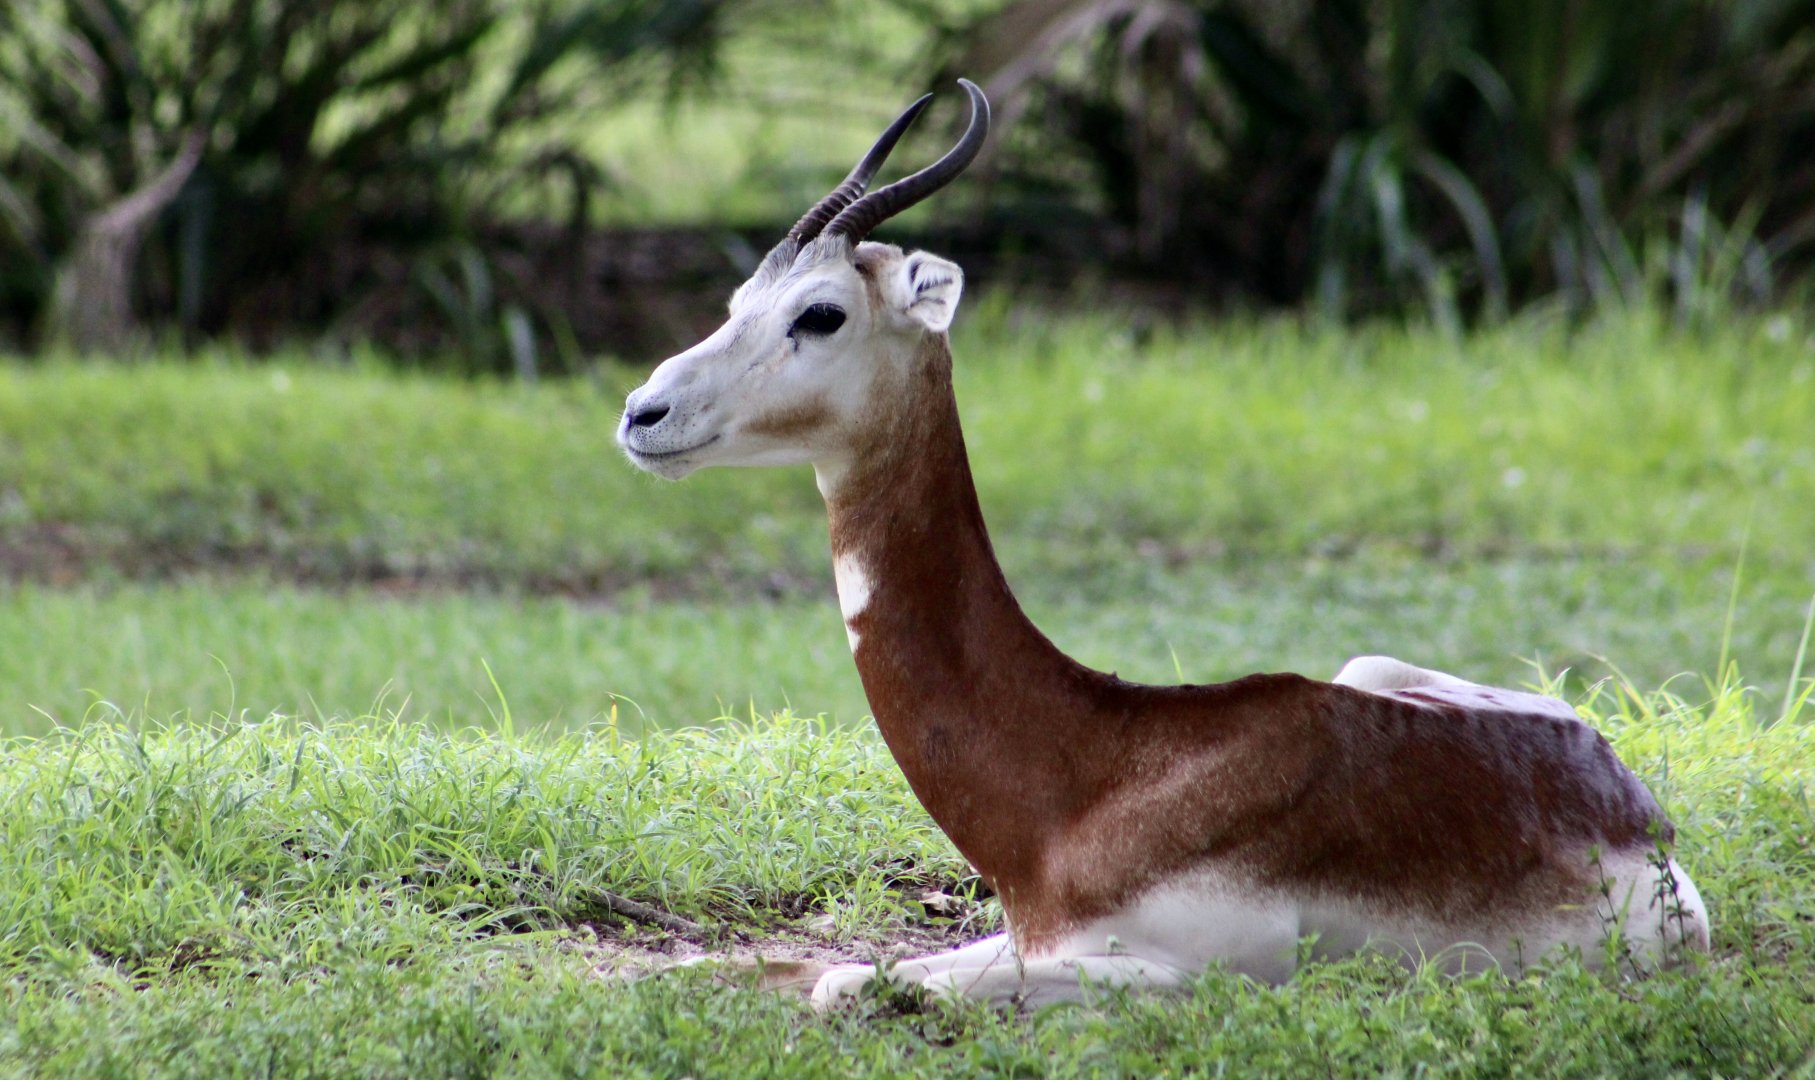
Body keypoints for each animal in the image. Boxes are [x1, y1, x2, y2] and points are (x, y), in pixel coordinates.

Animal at [617, 81, 1710, 1007]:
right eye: (735, 305)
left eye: (822, 312)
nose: (641, 412)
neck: (1094, 772)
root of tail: (1639, 817)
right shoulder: (1023, 931)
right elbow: (808, 968)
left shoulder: (1170, 973)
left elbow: (848, 983)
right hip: (1373, 665)